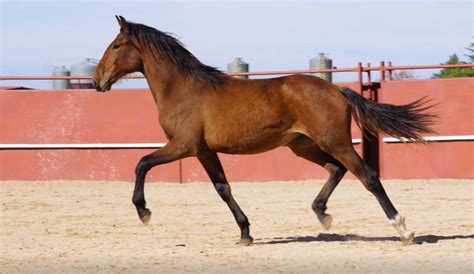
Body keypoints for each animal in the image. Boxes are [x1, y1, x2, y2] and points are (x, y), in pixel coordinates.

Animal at [92, 16, 436, 245]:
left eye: (117, 45)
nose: (97, 80)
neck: (183, 89)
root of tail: (337, 89)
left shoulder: (183, 146)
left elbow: (142, 163)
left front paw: (143, 212)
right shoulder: (204, 151)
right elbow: (223, 188)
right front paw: (245, 233)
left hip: (334, 141)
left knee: (367, 175)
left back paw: (404, 229)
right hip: (303, 145)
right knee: (336, 169)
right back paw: (322, 214)